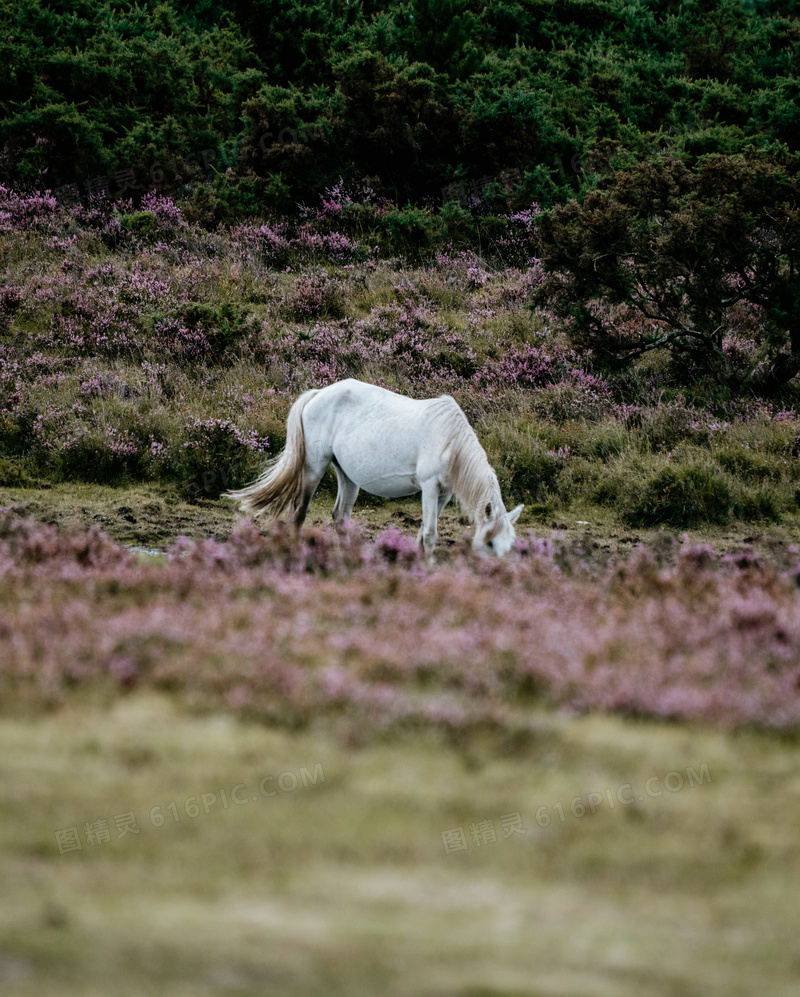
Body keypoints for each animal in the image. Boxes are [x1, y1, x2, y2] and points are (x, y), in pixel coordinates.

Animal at [225, 378, 524, 556]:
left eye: (508, 546)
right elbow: (429, 534)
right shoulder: (429, 487)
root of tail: (318, 393)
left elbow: (422, 532)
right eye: (489, 542)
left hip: (347, 476)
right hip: (314, 466)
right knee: (299, 512)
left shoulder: (443, 493)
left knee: (340, 517)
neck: (449, 440)